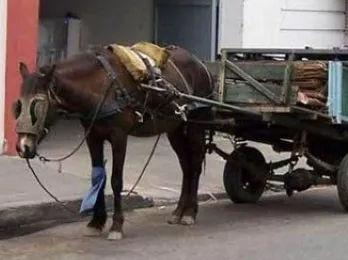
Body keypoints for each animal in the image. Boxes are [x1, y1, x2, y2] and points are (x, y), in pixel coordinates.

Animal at [12, 42, 213, 240]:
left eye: (37, 105)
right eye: (18, 105)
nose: (23, 147)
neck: (100, 86)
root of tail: (201, 64)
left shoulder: (119, 137)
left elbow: (116, 180)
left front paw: (117, 225)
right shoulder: (92, 136)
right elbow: (97, 176)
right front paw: (96, 222)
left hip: (196, 125)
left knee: (195, 164)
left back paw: (190, 213)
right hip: (175, 129)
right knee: (186, 167)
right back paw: (179, 211)